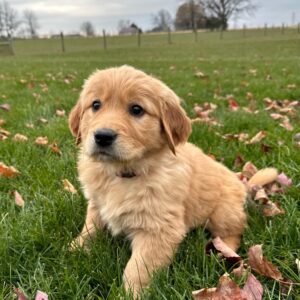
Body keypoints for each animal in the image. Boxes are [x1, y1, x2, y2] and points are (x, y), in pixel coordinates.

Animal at [68, 65, 248, 296]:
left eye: (136, 109)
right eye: (96, 105)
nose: (103, 136)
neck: (123, 173)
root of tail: (239, 179)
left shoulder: (159, 229)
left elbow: (138, 268)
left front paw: (130, 294)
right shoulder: (97, 203)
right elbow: (90, 227)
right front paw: (76, 248)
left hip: (223, 212)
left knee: (234, 231)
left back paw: (223, 251)